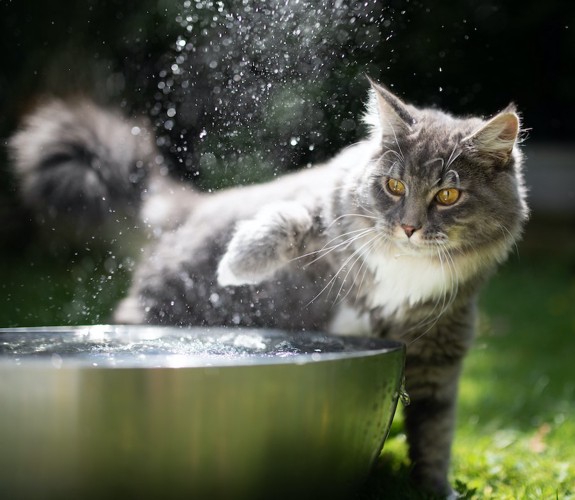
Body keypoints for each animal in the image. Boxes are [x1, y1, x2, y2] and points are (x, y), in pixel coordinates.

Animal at [10, 79, 532, 496]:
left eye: (447, 195)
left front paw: (435, 490)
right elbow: (290, 220)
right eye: (394, 186)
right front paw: (238, 263)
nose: (407, 228)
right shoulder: (324, 209)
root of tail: (188, 210)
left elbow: (434, 432)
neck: (405, 267)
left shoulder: (439, 352)